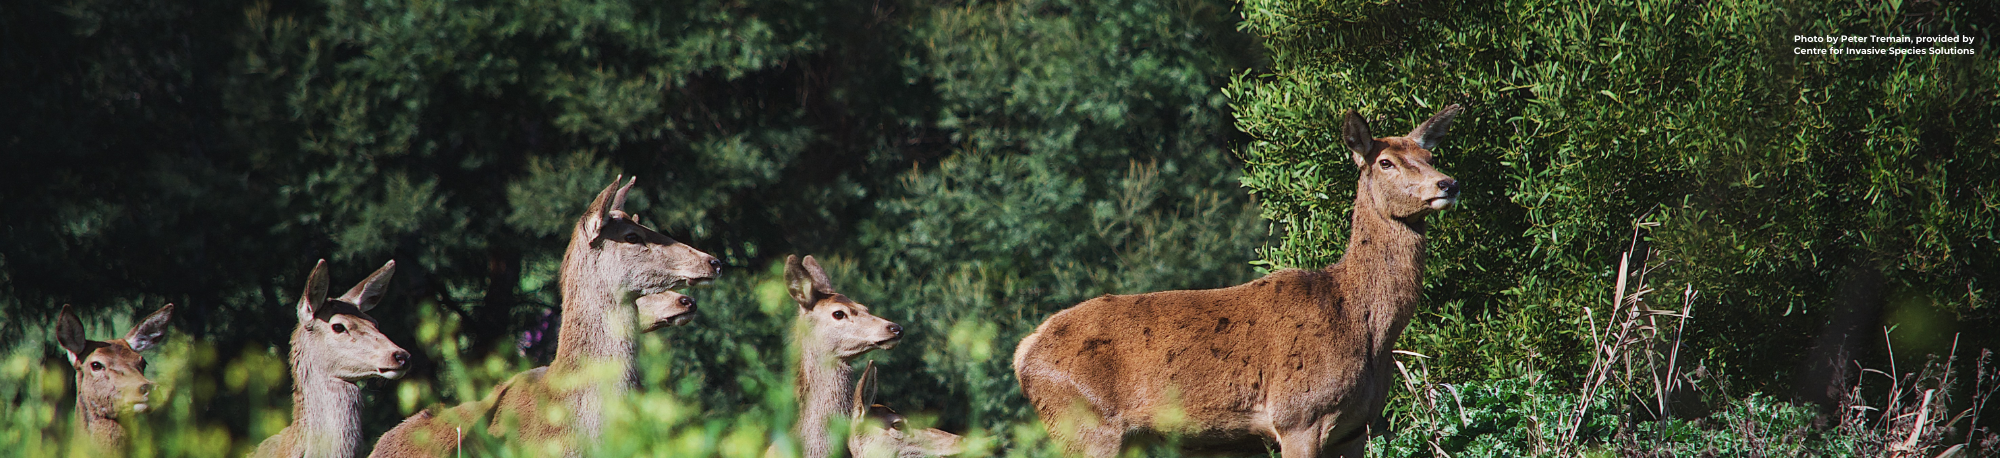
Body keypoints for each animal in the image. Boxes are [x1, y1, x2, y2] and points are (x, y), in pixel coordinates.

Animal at [1011, 105, 1465, 458]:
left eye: (1428, 153)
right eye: (1385, 162)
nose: (1448, 182)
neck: (1364, 324)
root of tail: (1023, 352)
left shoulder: (1356, 430)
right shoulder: (1299, 414)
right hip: (1085, 425)